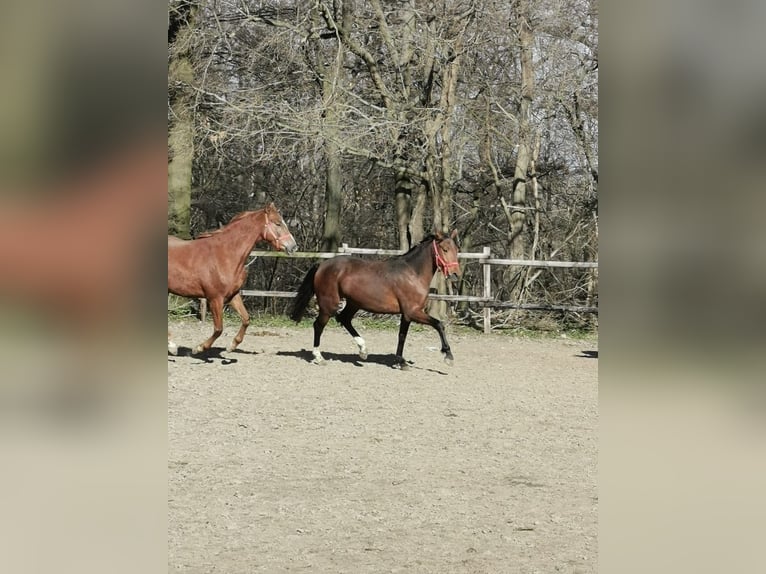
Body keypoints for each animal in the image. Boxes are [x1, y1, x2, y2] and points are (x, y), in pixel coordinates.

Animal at [170, 202, 298, 356]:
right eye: (278, 223)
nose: (294, 246)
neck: (225, 255)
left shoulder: (233, 295)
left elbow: (246, 319)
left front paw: (232, 346)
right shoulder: (215, 298)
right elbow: (219, 329)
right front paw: (198, 348)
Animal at [292, 233, 462, 372]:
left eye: (456, 249)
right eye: (445, 249)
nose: (456, 275)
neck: (413, 274)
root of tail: (322, 265)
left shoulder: (406, 314)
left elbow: (402, 335)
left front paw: (400, 362)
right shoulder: (413, 311)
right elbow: (439, 324)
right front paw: (448, 356)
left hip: (354, 303)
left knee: (344, 319)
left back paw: (363, 350)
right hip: (329, 304)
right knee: (319, 325)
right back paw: (319, 357)